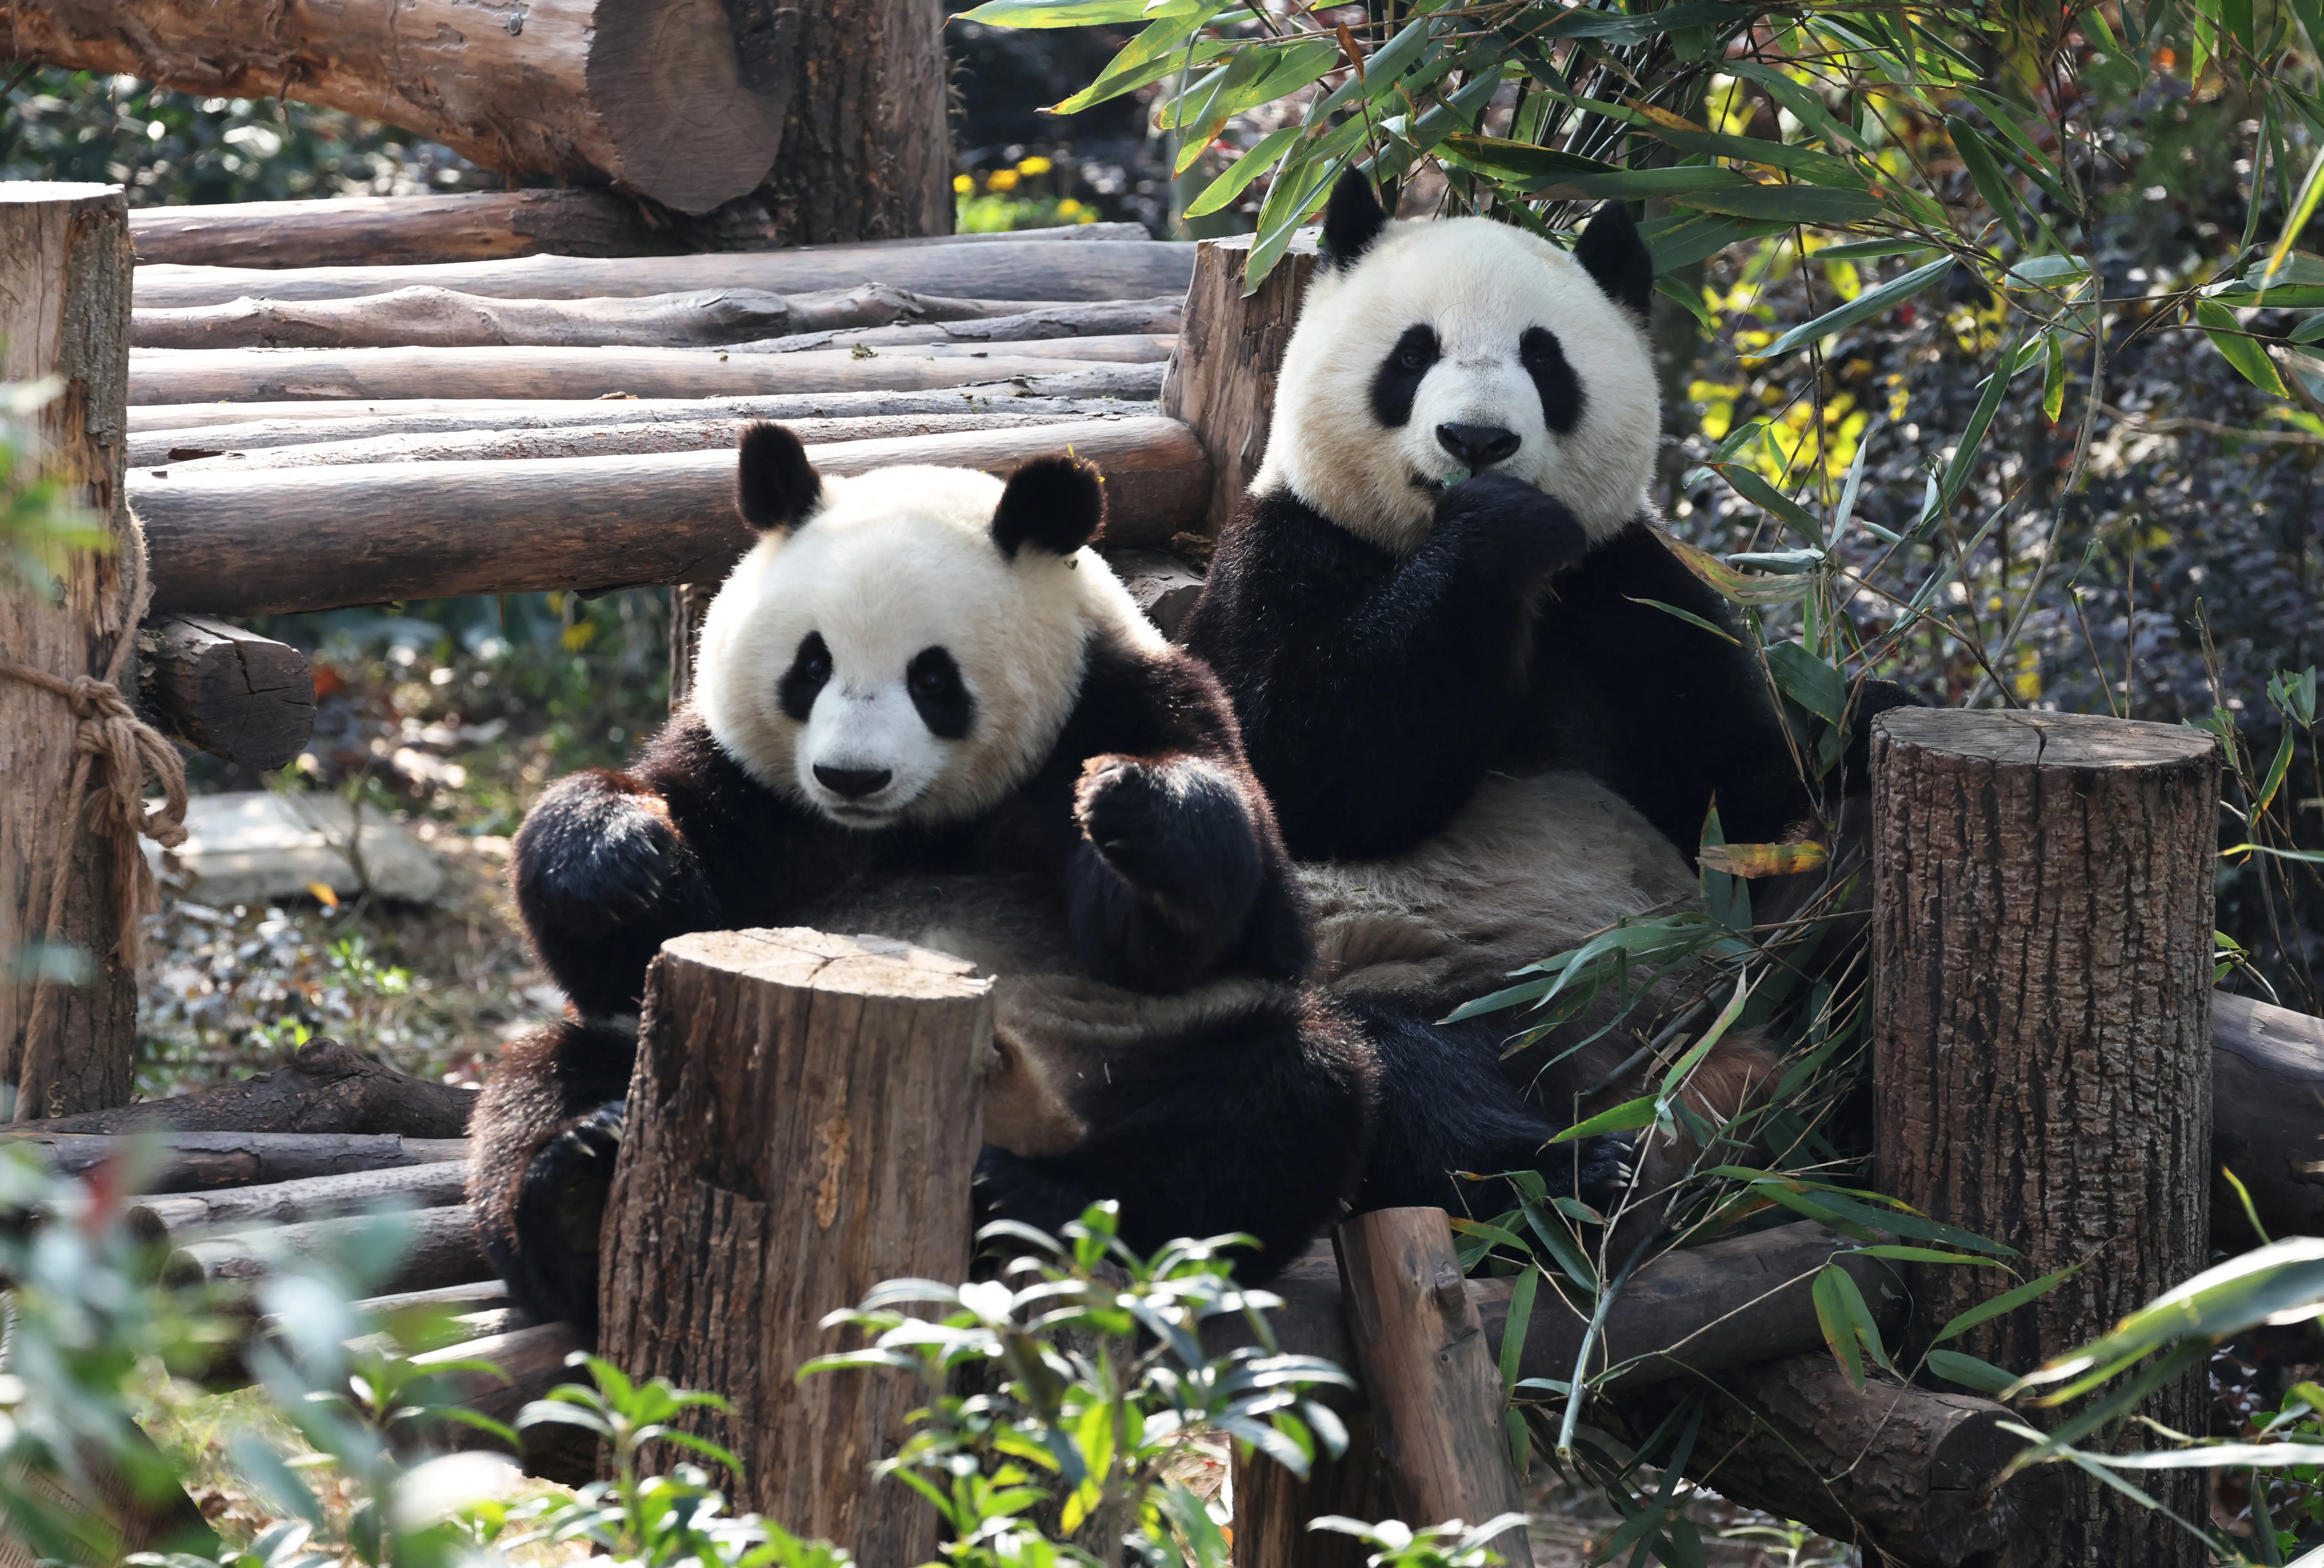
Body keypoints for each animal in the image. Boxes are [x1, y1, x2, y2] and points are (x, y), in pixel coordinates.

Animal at [469, 425, 1379, 1336]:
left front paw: (1137, 807)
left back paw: (1038, 1197)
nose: (850, 776)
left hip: (1134, 1054)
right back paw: (577, 1190)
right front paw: (609, 851)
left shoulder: (1129, 700)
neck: (915, 824)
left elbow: (1216, 934)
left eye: (932, 678)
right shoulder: (745, 788)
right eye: (810, 665)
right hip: (656, 1059)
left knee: (1282, 1102)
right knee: (543, 1078)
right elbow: (635, 944)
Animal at [1179, 173, 1915, 1180]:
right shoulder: (1280, 551)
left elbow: (1742, 787)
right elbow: (1304, 769)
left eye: (1543, 358)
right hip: (1391, 972)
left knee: (1844, 918)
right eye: (1412, 353)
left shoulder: (1631, 593)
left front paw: (1868, 709)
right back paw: (1563, 1165)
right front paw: (1496, 529)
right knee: (1371, 1068)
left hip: (1735, 956)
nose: (1475, 441)